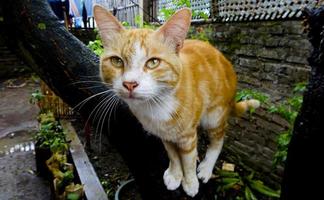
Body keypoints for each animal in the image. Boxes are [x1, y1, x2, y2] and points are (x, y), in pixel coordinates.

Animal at [93, 5, 260, 197]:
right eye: (116, 61)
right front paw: (175, 174)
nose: (130, 84)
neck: (156, 104)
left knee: (218, 139)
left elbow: (188, 160)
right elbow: (173, 155)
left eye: (153, 62)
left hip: (214, 114)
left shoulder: (187, 135)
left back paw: (206, 167)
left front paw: (190, 182)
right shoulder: (165, 134)